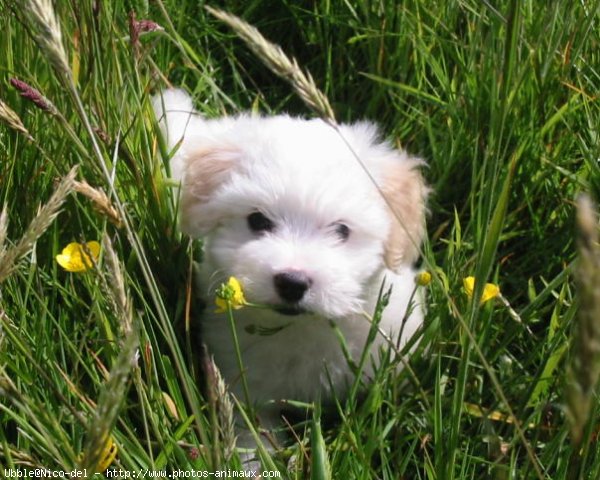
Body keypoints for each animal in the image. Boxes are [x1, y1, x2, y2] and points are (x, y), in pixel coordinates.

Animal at [155, 89, 426, 442]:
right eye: (257, 220)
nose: (292, 282)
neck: (302, 327)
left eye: (342, 230)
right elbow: (253, 435)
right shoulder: (245, 390)